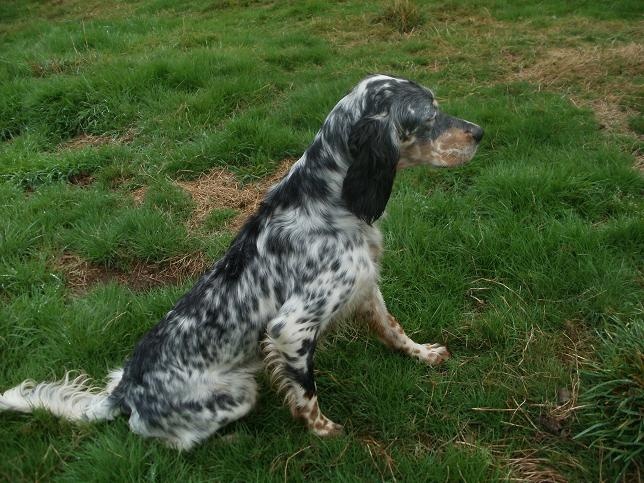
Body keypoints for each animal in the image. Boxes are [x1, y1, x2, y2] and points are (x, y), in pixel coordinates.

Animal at [0, 74, 484, 450]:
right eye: (428, 116)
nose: (480, 132)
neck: (328, 199)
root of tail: (128, 391)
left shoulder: (364, 286)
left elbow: (393, 329)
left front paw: (423, 354)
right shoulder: (290, 328)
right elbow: (307, 395)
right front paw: (327, 433)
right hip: (237, 391)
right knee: (163, 438)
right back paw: (228, 439)